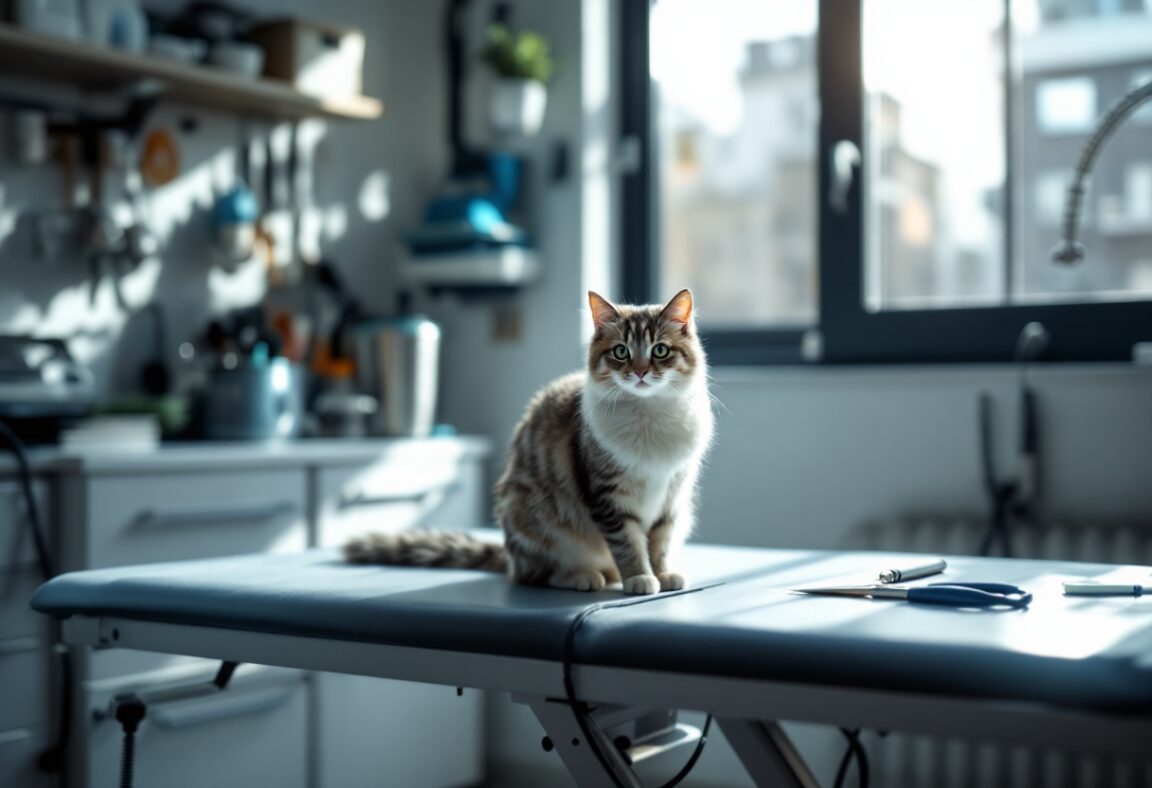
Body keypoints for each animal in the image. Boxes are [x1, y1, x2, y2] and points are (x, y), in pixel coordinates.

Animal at [343, 290, 709, 599]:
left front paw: (662, 574)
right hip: (536, 520)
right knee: (534, 575)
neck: (649, 415)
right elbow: (628, 544)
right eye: (621, 351)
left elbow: (659, 543)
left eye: (660, 350)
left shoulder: (672, 496)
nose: (641, 372)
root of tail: (509, 556)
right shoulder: (607, 496)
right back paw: (584, 576)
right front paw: (639, 578)